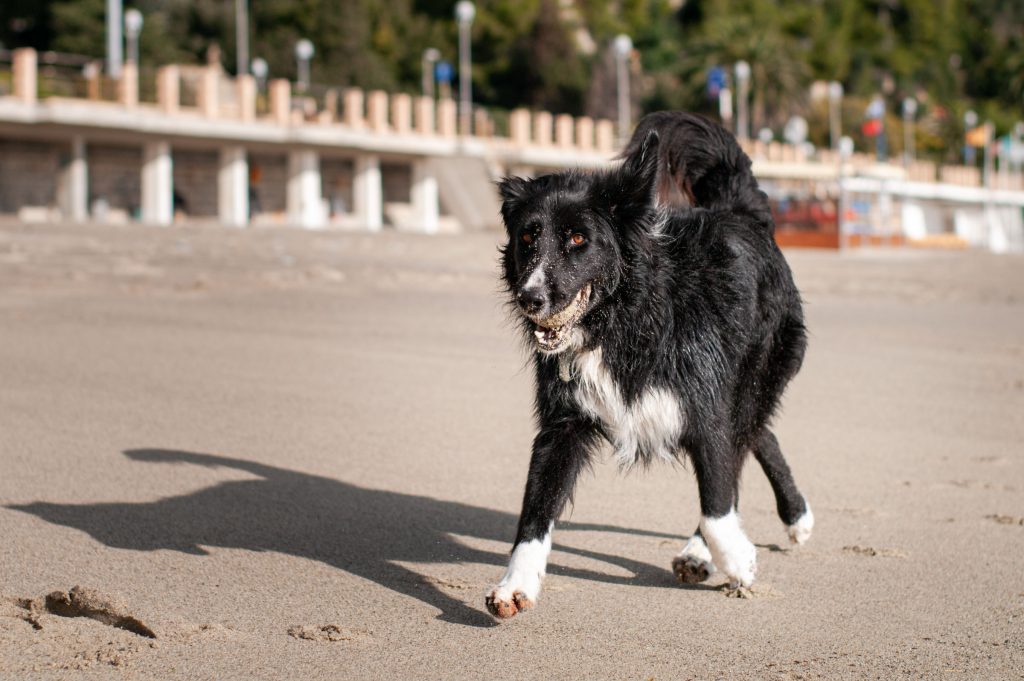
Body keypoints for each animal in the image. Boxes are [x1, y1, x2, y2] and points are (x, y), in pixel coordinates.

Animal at [483, 110, 811, 614]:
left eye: (578, 238)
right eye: (526, 237)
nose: (529, 298)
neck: (624, 320)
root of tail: (737, 209)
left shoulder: (704, 408)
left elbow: (716, 503)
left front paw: (737, 560)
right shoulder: (563, 423)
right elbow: (535, 511)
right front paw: (515, 585)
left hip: (755, 375)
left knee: (745, 441)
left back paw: (752, 533)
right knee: (760, 436)